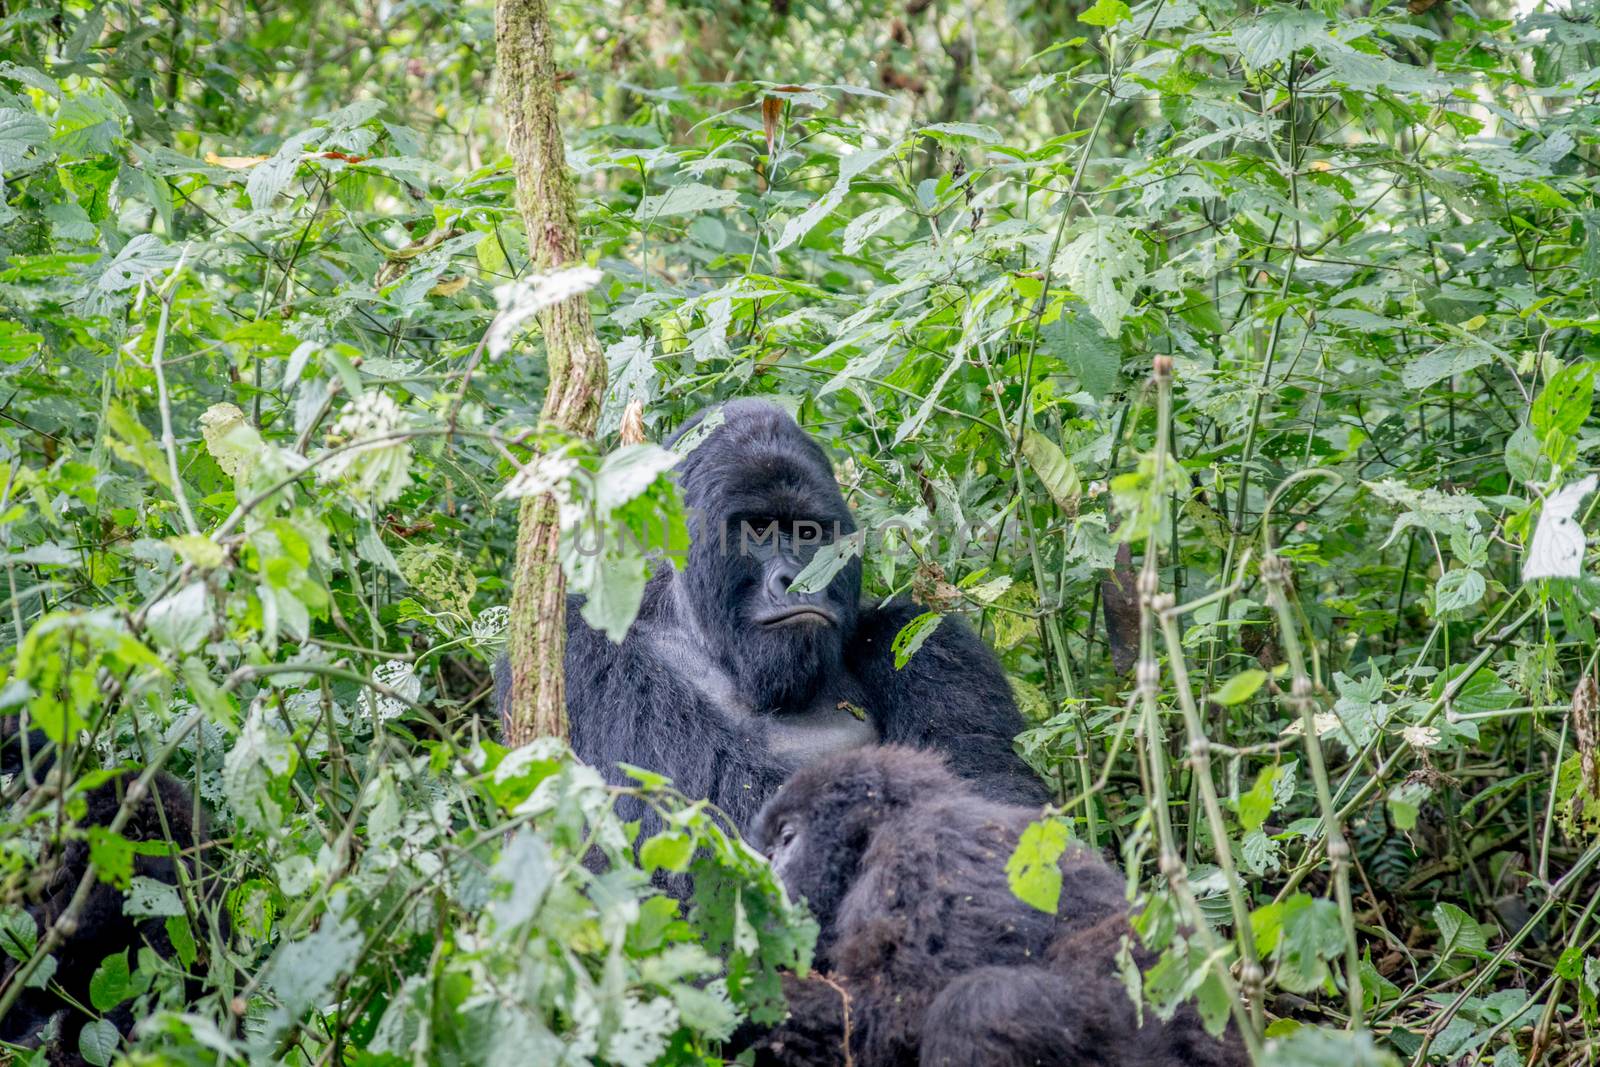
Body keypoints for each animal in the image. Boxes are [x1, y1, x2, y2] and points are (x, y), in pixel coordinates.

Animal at [499, 399, 1049, 831]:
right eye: (759, 530)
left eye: (809, 533)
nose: (796, 579)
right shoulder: (579, 651)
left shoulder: (924, 638)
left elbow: (996, 792)